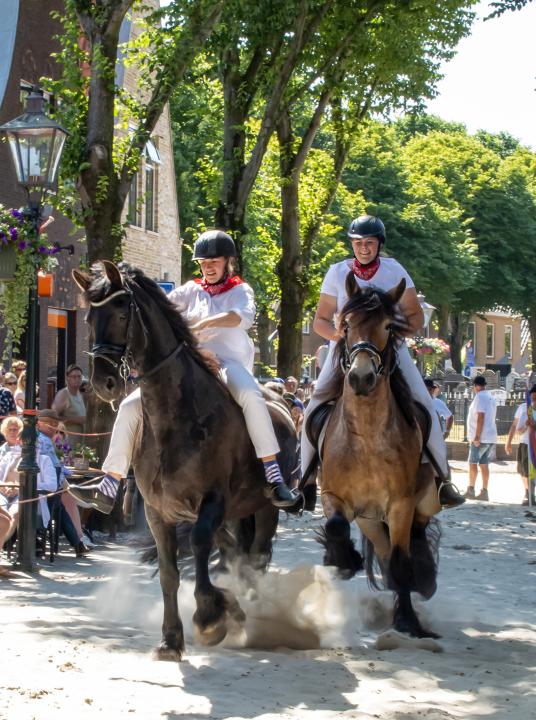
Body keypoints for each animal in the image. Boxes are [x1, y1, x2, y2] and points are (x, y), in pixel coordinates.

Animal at [318, 272, 440, 640]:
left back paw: (422, 581)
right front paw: (344, 560)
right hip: (370, 519)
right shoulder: (333, 495)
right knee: (384, 553)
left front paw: (408, 621)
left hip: (418, 502)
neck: (367, 437)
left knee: (412, 539)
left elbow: (402, 560)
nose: (361, 377)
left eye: (388, 326)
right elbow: (335, 526)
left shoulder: (400, 503)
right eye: (345, 325)